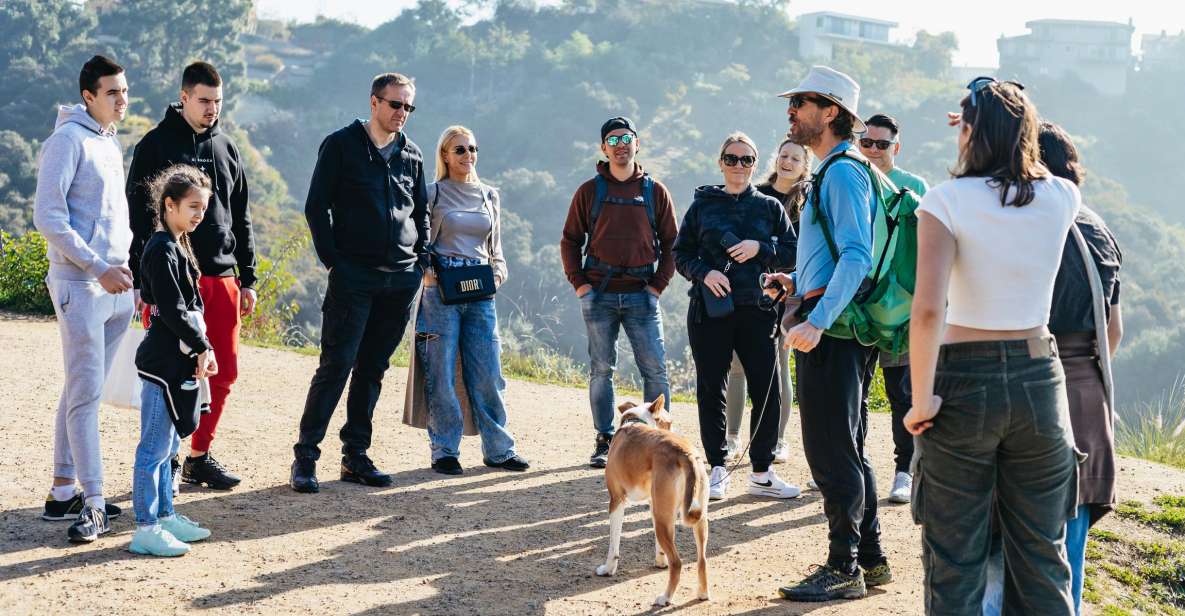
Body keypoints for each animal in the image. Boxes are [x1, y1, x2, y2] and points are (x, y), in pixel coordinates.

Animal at [597, 395, 706, 606]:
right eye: (669, 423)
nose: (675, 430)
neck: (636, 420)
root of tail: (685, 453)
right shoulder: (653, 505)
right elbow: (658, 545)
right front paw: (660, 561)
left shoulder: (616, 501)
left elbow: (613, 544)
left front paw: (608, 569)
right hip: (691, 518)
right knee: (702, 559)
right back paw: (703, 593)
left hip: (664, 518)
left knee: (677, 562)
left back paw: (665, 598)